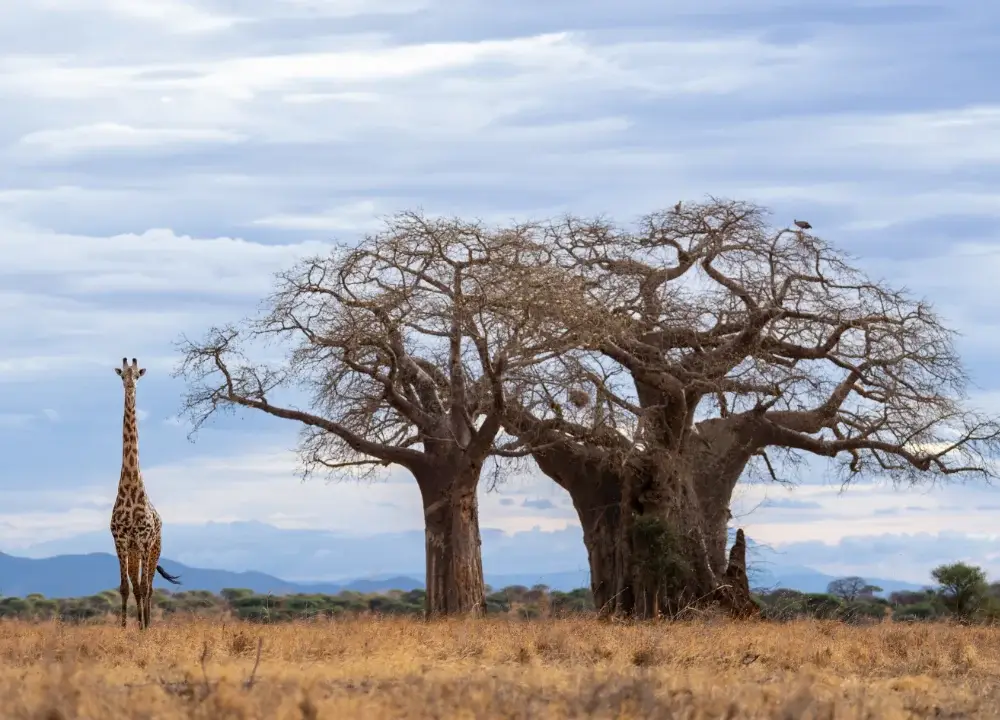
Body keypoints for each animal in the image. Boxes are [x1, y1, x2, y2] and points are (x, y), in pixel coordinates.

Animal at [110, 357, 181, 630]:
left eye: (137, 375)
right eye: (122, 376)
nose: (130, 386)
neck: (131, 487)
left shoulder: (142, 540)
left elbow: (142, 587)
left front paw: (142, 629)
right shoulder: (121, 540)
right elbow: (125, 588)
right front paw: (123, 629)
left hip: (154, 548)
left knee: (149, 587)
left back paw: (147, 624)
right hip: (134, 552)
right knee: (137, 586)